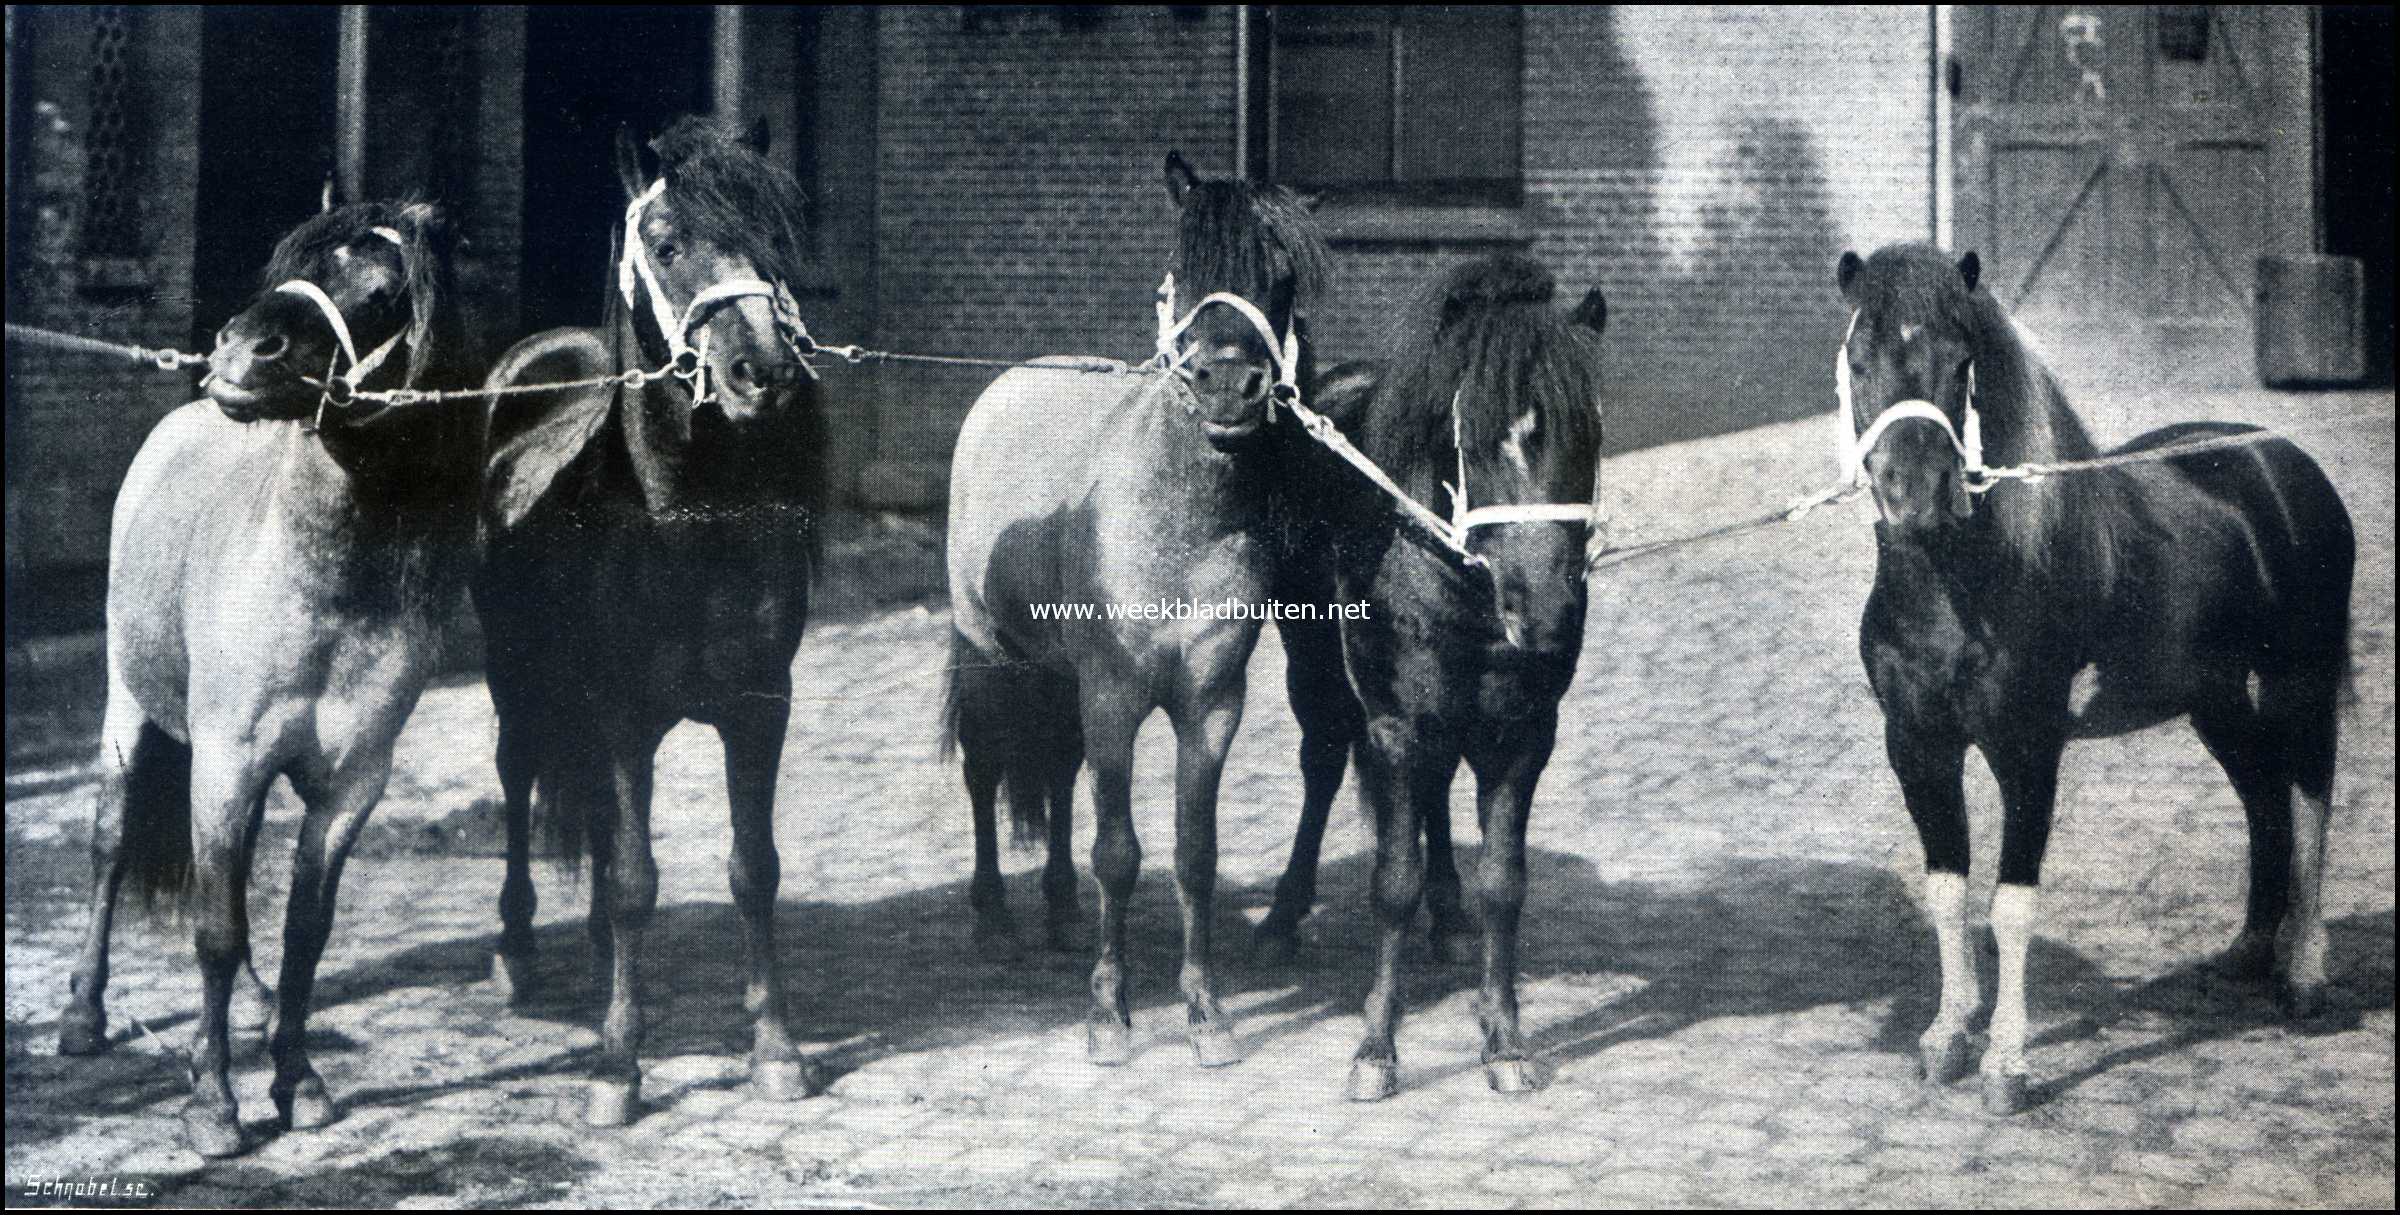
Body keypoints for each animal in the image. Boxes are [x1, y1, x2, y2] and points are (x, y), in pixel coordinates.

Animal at [58, 198, 474, 1156]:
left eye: (385, 292)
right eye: (289, 263)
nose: (240, 350)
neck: (321, 589)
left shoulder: (348, 787)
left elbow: (302, 934)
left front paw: (298, 1081)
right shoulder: (224, 763)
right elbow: (216, 926)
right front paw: (213, 1103)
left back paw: (248, 1005)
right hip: (127, 707)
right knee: (109, 844)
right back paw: (84, 1016)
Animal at [474, 116, 826, 1127]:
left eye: (773, 242)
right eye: (666, 246)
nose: (764, 376)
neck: (681, 526)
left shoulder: (759, 709)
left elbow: (754, 868)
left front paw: (776, 1050)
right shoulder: (626, 714)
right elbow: (637, 881)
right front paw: (615, 1069)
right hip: (516, 681)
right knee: (519, 777)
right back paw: (519, 952)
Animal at [941, 151, 1330, 1066]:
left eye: (1280, 277)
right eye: (1181, 270)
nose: (1229, 386)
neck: (1177, 521)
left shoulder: (1211, 703)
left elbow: (1194, 853)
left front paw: (1207, 1014)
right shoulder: (1114, 693)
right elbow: (1117, 850)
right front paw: (1109, 1017)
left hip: (1056, 674)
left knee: (1054, 768)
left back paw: (1057, 909)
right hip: (987, 654)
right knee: (984, 768)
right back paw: (995, 921)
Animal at [1322, 253, 1607, 1101]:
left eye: (1589, 433)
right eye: (1471, 438)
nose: (1546, 612)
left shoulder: (1523, 732)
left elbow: (1503, 882)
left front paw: (1505, 1042)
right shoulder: (1393, 727)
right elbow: (1392, 880)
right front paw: (1375, 1050)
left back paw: (1447, 920)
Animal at [1835, 243, 2356, 1113]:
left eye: (1962, 359)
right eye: (1858, 356)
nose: (1915, 490)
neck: (1965, 581)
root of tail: (2281, 461)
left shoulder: (2028, 751)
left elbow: (2011, 907)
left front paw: (2006, 1066)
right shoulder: (1916, 745)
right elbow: (1948, 890)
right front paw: (1945, 1038)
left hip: (2301, 682)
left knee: (2310, 797)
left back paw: (2305, 978)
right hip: (2213, 699)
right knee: (2262, 798)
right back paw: (2247, 951)